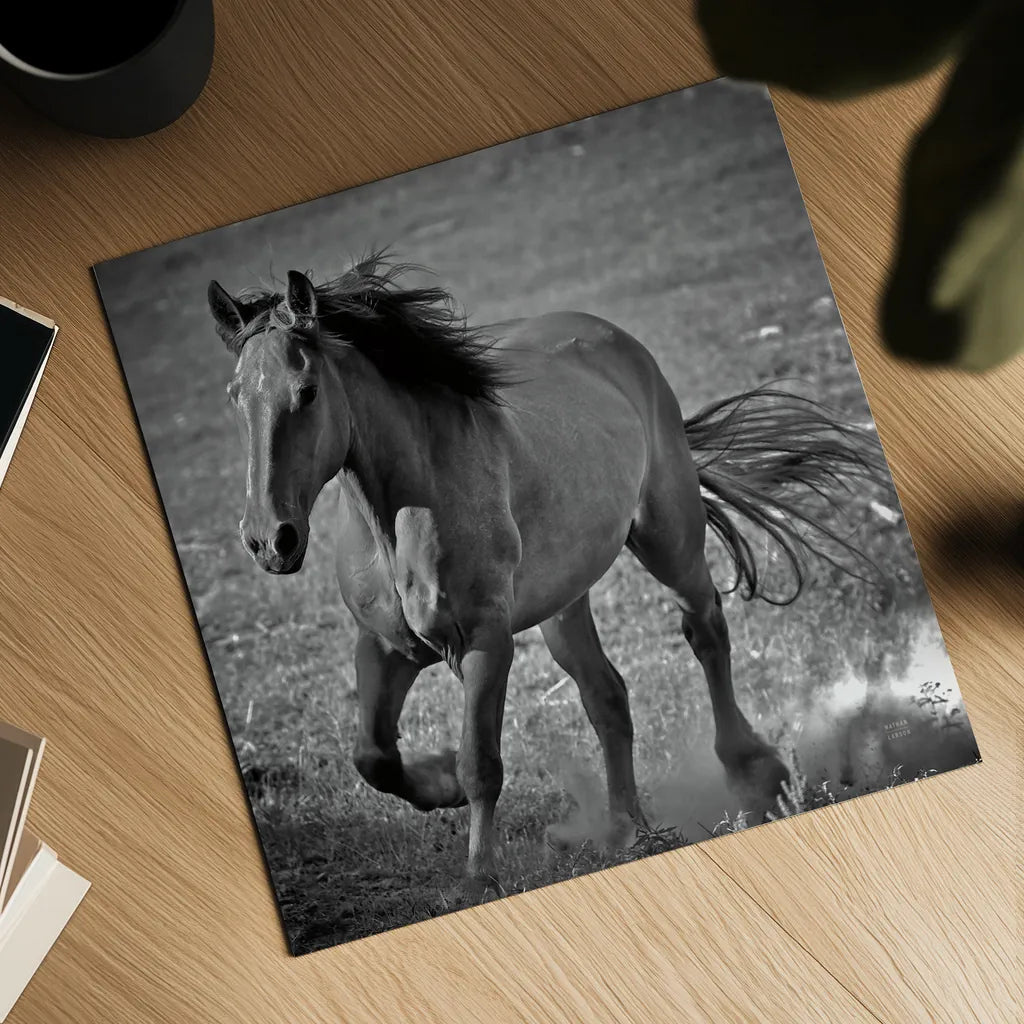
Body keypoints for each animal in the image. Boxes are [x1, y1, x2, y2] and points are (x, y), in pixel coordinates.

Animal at [207, 253, 884, 894]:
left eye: (308, 390)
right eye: (236, 396)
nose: (271, 540)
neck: (401, 513)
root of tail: (614, 339)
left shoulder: (485, 642)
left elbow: (482, 762)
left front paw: (480, 873)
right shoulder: (384, 646)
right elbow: (373, 756)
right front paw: (441, 784)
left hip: (669, 540)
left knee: (705, 629)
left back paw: (751, 772)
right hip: (564, 602)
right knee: (607, 695)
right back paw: (626, 828)